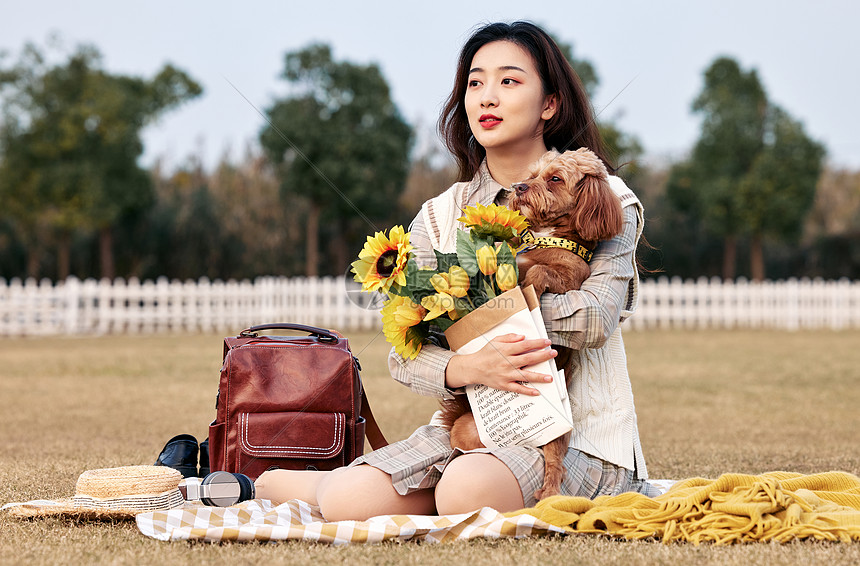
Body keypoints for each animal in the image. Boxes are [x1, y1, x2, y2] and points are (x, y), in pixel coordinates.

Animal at [440, 150, 620, 502]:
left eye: (555, 178)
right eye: (532, 173)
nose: (519, 187)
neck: (545, 239)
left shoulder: (570, 280)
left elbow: (540, 273)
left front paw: (531, 283)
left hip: (556, 435)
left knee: (554, 466)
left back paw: (547, 493)